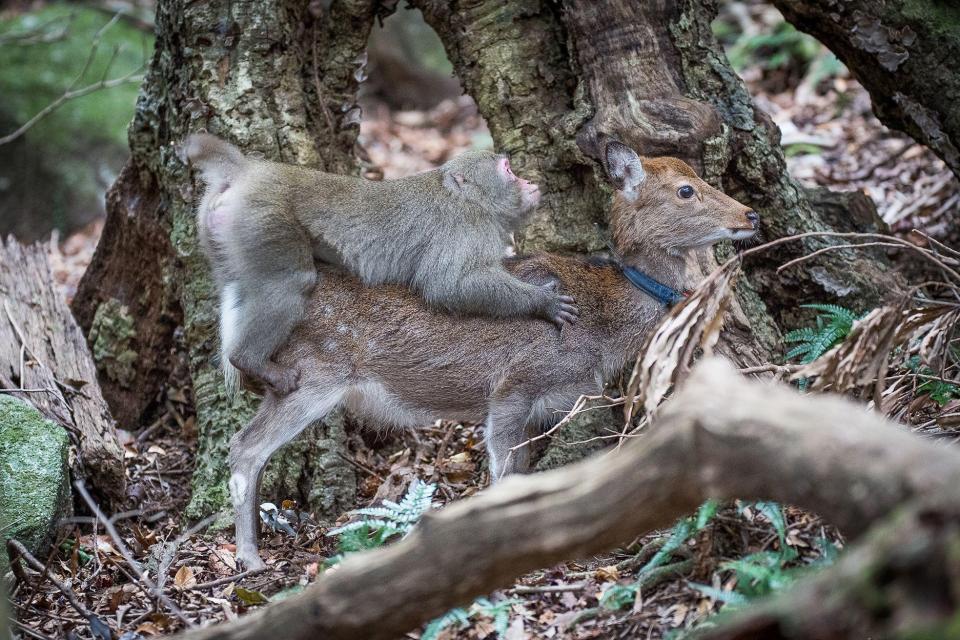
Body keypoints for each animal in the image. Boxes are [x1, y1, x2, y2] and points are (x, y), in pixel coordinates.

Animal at [185, 134, 580, 396]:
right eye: (508, 170)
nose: (528, 181)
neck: (471, 200)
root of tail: (249, 171)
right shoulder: (466, 227)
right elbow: (447, 285)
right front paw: (542, 301)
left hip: (223, 229)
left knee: (237, 285)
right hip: (263, 217)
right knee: (292, 282)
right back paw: (250, 360)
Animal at [225, 142, 756, 568]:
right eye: (686, 190)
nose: (749, 214)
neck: (600, 327)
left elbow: (522, 477)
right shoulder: (513, 385)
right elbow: (502, 476)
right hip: (313, 373)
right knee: (245, 447)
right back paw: (250, 559)